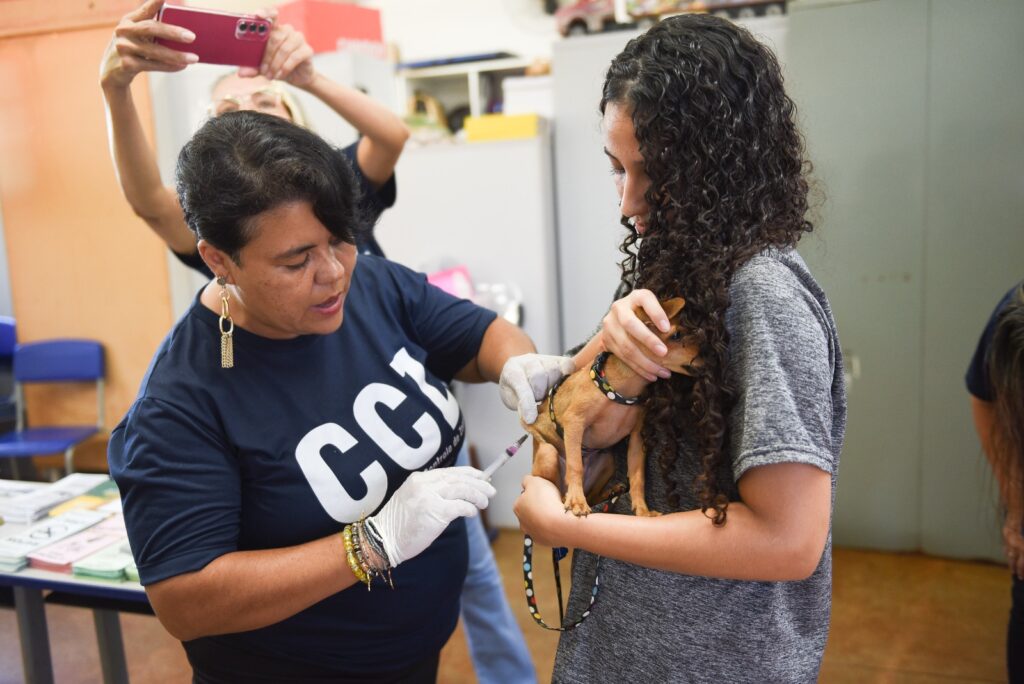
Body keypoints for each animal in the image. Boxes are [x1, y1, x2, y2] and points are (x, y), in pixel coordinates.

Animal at [524, 296, 700, 516]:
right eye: (676, 335)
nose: (707, 353)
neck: (622, 391)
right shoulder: (575, 421)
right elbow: (575, 466)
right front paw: (576, 502)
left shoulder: (637, 438)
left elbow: (637, 476)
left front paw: (642, 511)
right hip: (549, 454)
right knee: (561, 485)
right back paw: (569, 497)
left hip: (608, 462)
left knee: (591, 494)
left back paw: (609, 491)